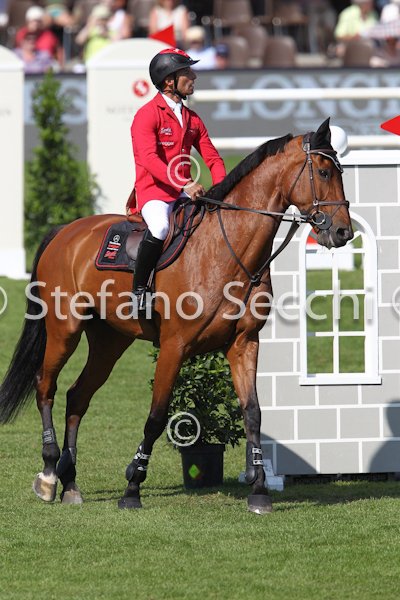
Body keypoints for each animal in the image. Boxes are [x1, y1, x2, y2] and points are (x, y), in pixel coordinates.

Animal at [0, 119, 353, 514]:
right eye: (323, 172)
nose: (343, 232)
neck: (227, 249)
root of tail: (66, 231)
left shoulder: (244, 344)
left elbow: (253, 413)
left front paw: (260, 489)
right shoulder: (174, 346)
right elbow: (156, 417)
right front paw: (132, 488)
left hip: (110, 341)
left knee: (77, 397)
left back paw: (71, 483)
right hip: (64, 330)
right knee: (45, 386)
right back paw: (48, 475)